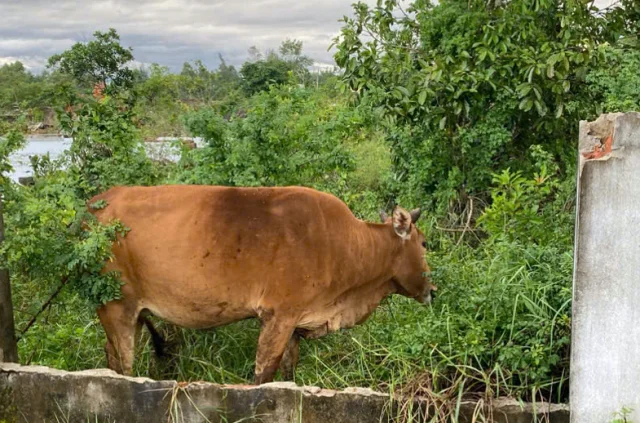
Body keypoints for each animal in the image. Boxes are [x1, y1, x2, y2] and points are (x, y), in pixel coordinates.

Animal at [89, 186, 436, 384]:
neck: (346, 245)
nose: (432, 291)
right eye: (424, 243)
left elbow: (288, 374)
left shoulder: (295, 322)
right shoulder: (278, 316)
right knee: (124, 366)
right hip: (117, 307)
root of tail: (95, 203)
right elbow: (263, 376)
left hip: (131, 314)